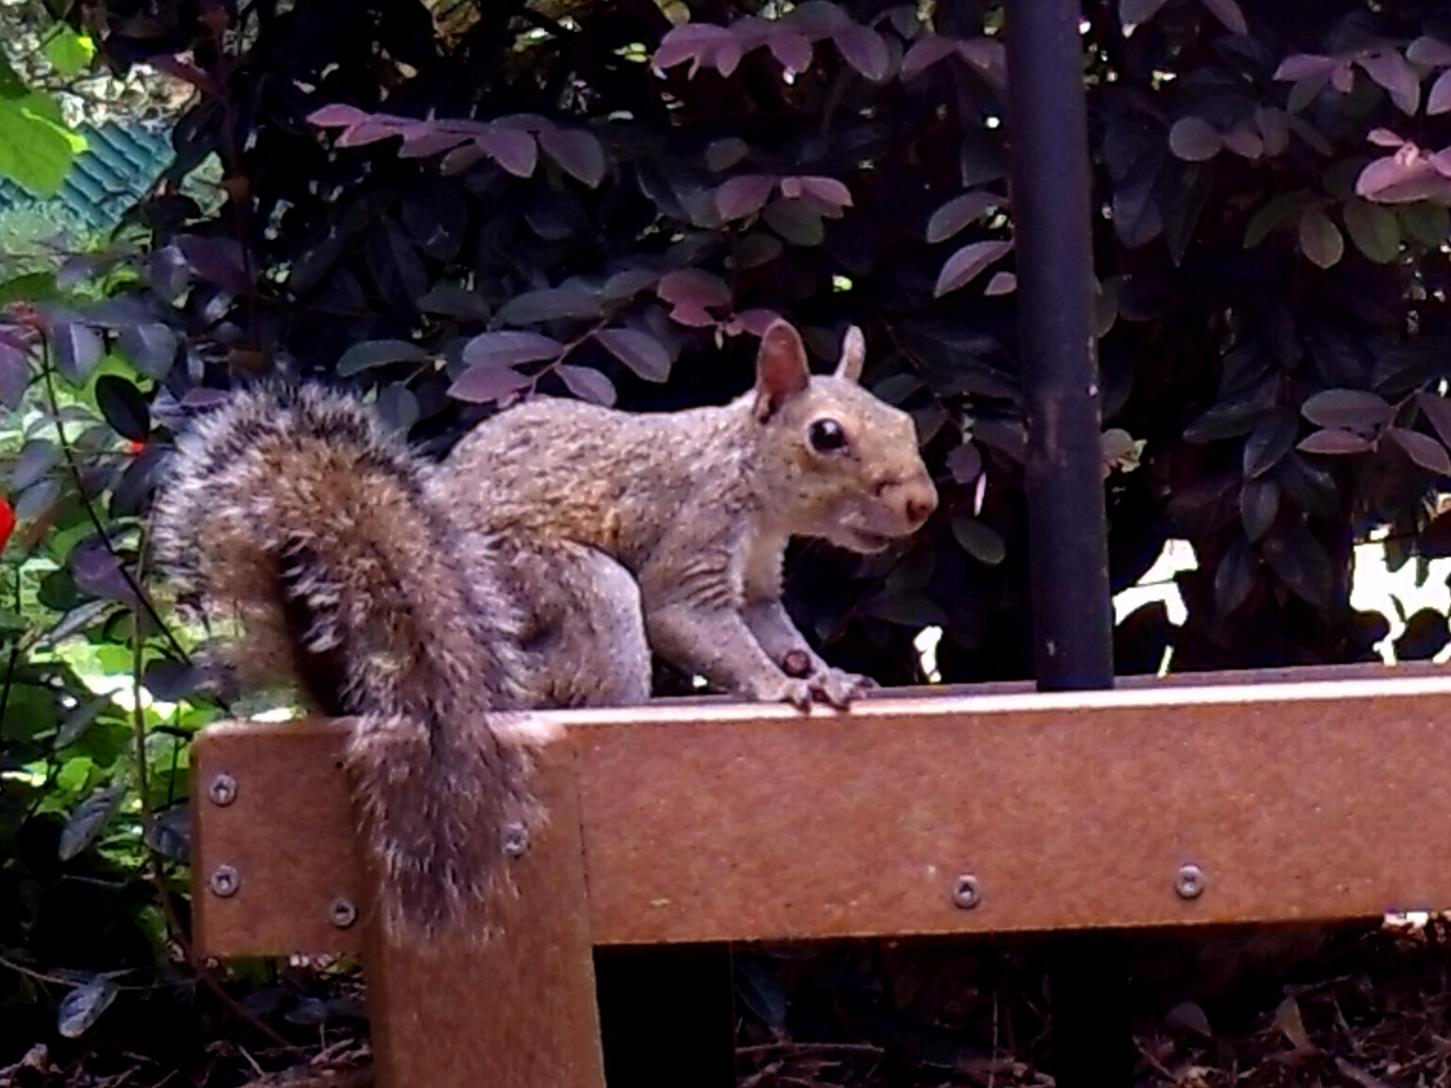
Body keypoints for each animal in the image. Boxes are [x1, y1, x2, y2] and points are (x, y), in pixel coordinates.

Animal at [150, 317, 940, 945]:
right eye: (826, 436)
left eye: (903, 423)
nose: (922, 503)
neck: (754, 483)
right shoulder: (693, 530)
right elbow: (690, 619)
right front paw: (777, 686)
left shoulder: (757, 584)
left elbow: (774, 629)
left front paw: (823, 672)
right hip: (570, 593)